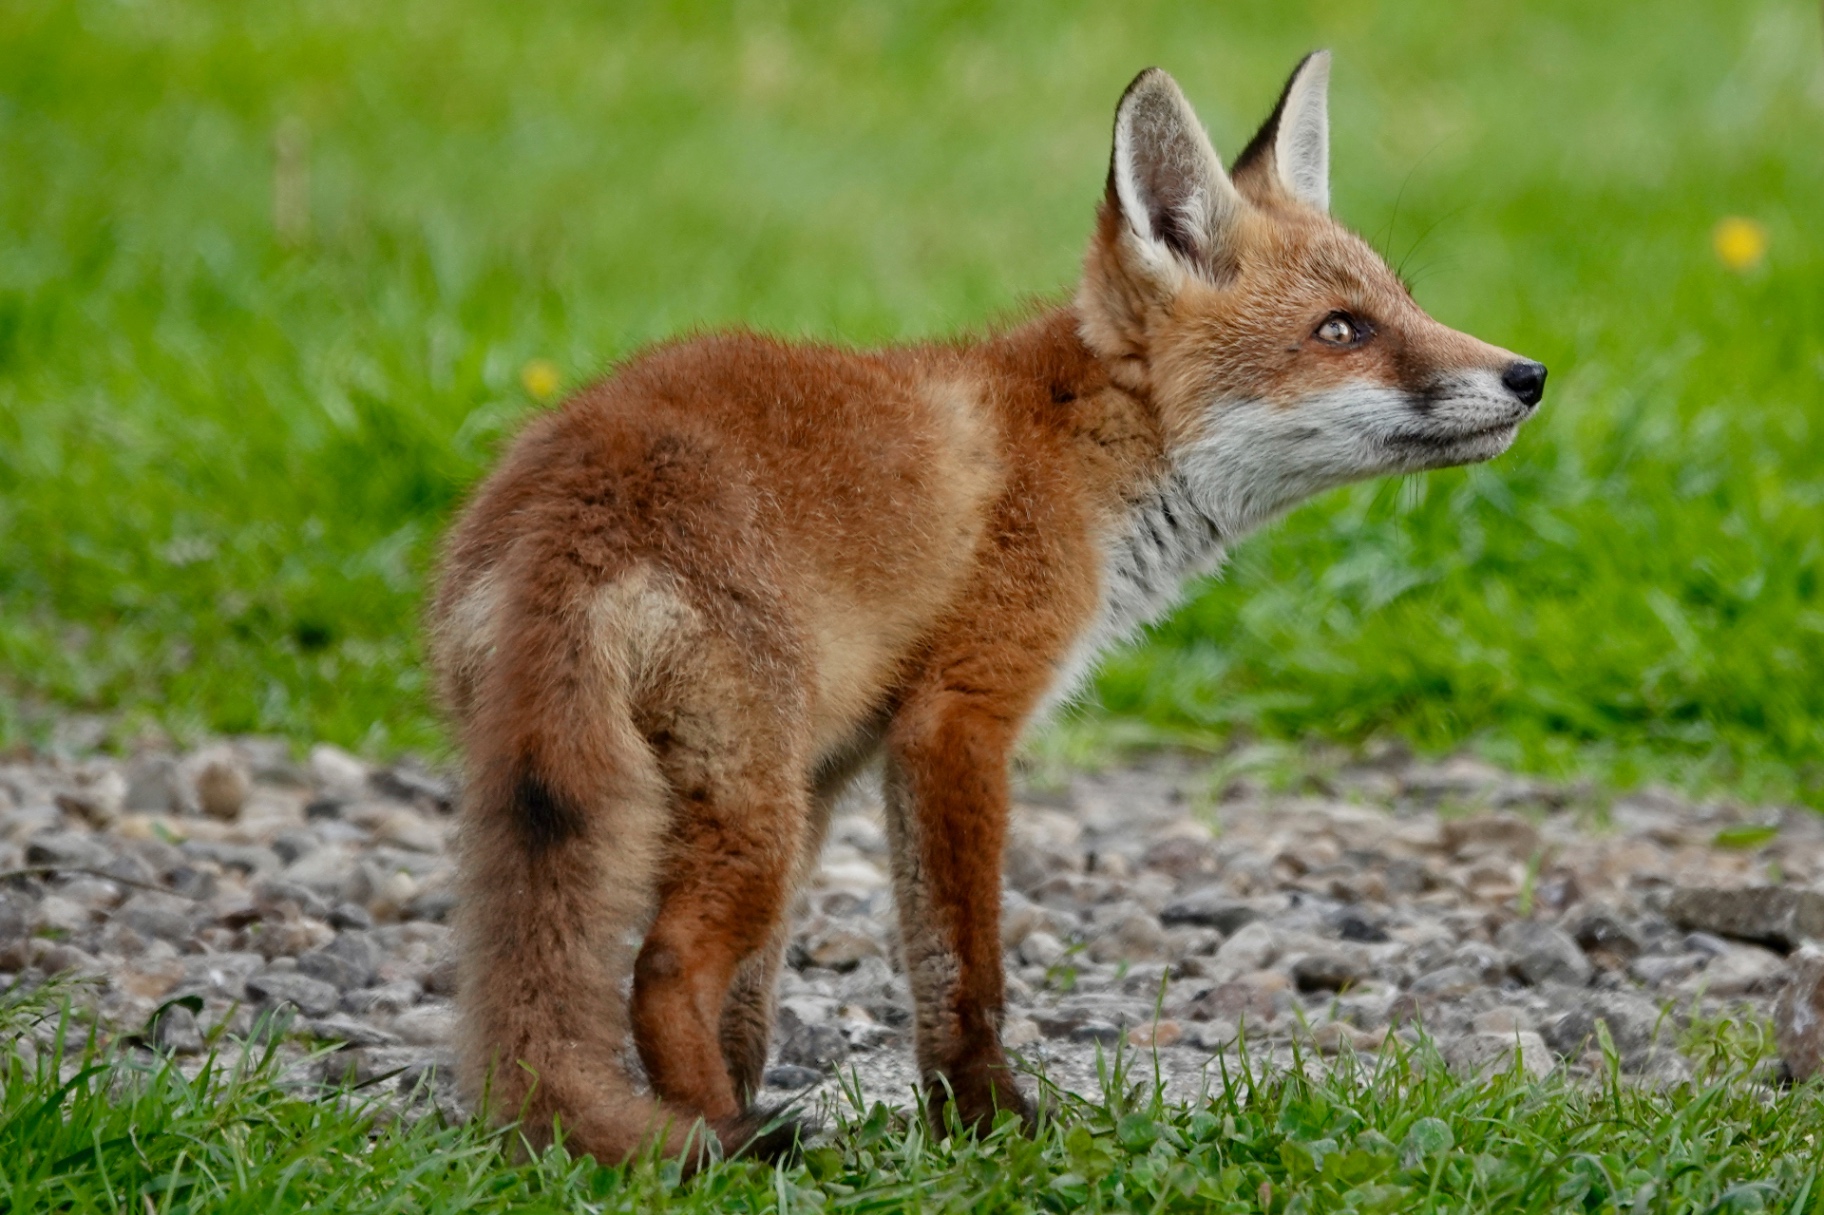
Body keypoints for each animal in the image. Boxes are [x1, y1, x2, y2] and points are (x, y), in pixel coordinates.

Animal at [431, 52, 1546, 1166]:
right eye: (1343, 330)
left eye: (1403, 303)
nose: (1529, 374)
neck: (1072, 453)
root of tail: (575, 502)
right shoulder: (958, 716)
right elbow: (962, 966)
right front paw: (985, 1121)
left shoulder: (840, 764)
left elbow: (758, 1001)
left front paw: (821, 1100)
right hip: (751, 806)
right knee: (663, 971)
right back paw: (719, 1148)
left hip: (699, 794)